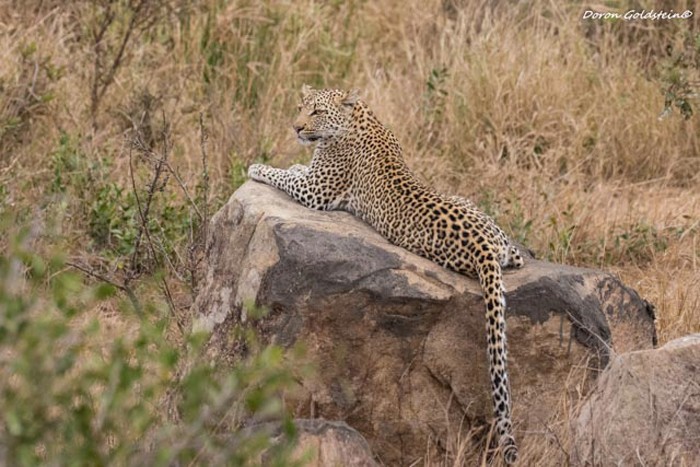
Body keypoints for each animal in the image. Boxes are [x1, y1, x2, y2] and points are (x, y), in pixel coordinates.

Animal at [249, 85, 524, 464]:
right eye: (300, 107)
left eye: (316, 111)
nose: (296, 128)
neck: (359, 115)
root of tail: (485, 246)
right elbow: (292, 171)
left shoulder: (316, 192)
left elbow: (284, 175)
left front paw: (258, 166)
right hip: (475, 208)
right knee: (516, 254)